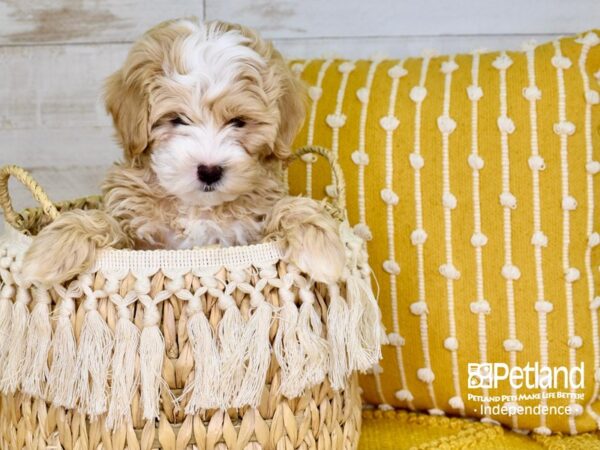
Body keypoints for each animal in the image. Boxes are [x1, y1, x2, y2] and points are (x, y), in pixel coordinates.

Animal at [22, 19, 346, 286]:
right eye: (177, 119)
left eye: (238, 122)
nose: (210, 170)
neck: (196, 207)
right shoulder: (137, 239)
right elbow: (103, 220)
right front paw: (52, 251)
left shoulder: (250, 232)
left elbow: (290, 206)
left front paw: (323, 249)